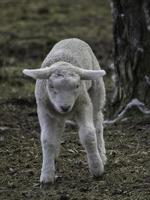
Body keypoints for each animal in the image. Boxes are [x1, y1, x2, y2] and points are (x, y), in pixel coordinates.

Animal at [22, 37, 106, 184]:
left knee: (97, 123)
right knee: (59, 127)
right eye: (51, 86)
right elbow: (47, 139)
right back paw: (54, 155)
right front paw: (47, 175)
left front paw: (97, 168)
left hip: (96, 90)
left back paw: (101, 154)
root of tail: (72, 38)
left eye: (77, 86)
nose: (65, 107)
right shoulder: (44, 111)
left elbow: (88, 135)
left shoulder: (83, 105)